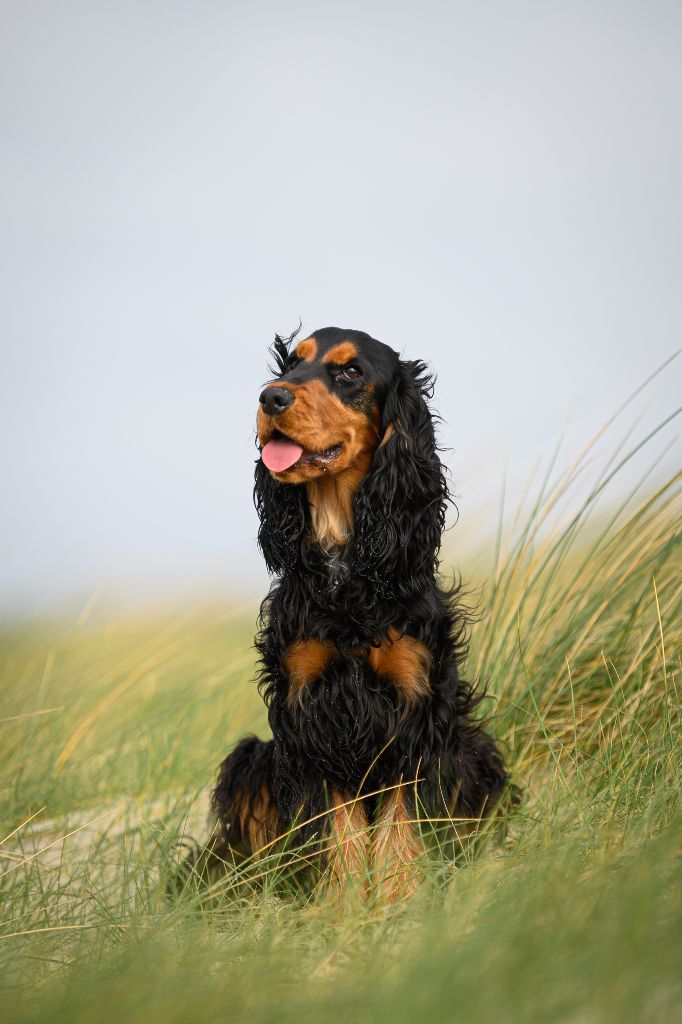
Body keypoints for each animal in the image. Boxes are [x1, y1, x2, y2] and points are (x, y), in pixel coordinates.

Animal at [206, 327, 509, 897]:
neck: (346, 560)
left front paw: (400, 901)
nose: (271, 397)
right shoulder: (310, 710)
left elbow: (398, 825)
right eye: (293, 364)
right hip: (252, 759)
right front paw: (341, 905)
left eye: (350, 373)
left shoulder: (413, 707)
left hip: (475, 748)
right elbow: (337, 830)